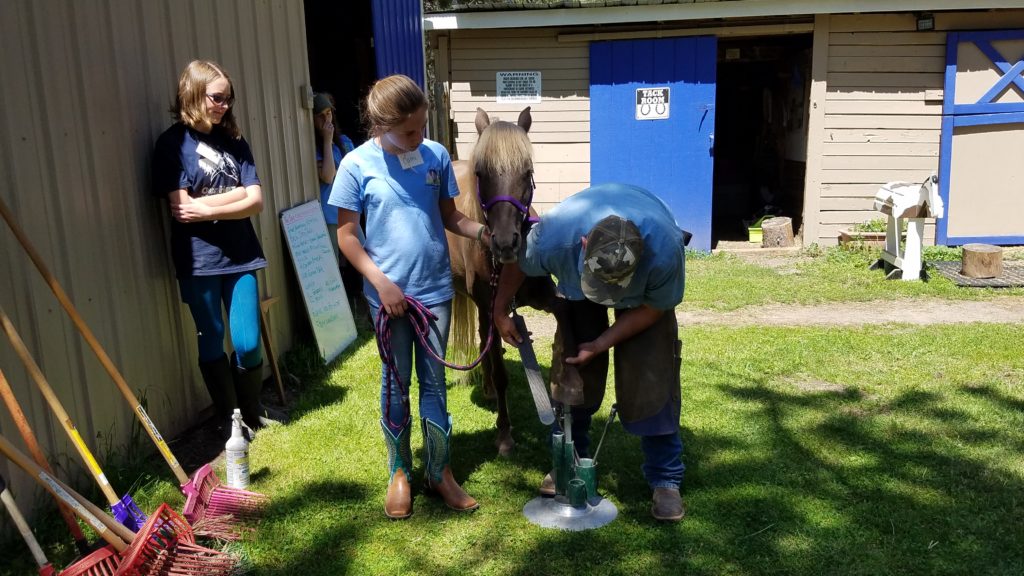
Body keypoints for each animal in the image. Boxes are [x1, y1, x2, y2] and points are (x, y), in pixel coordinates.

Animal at [448, 106, 577, 453]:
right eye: (481, 174)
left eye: (527, 171)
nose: (506, 243)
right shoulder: (493, 309)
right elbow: (500, 368)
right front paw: (504, 433)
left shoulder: (544, 297)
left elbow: (564, 316)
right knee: (485, 342)